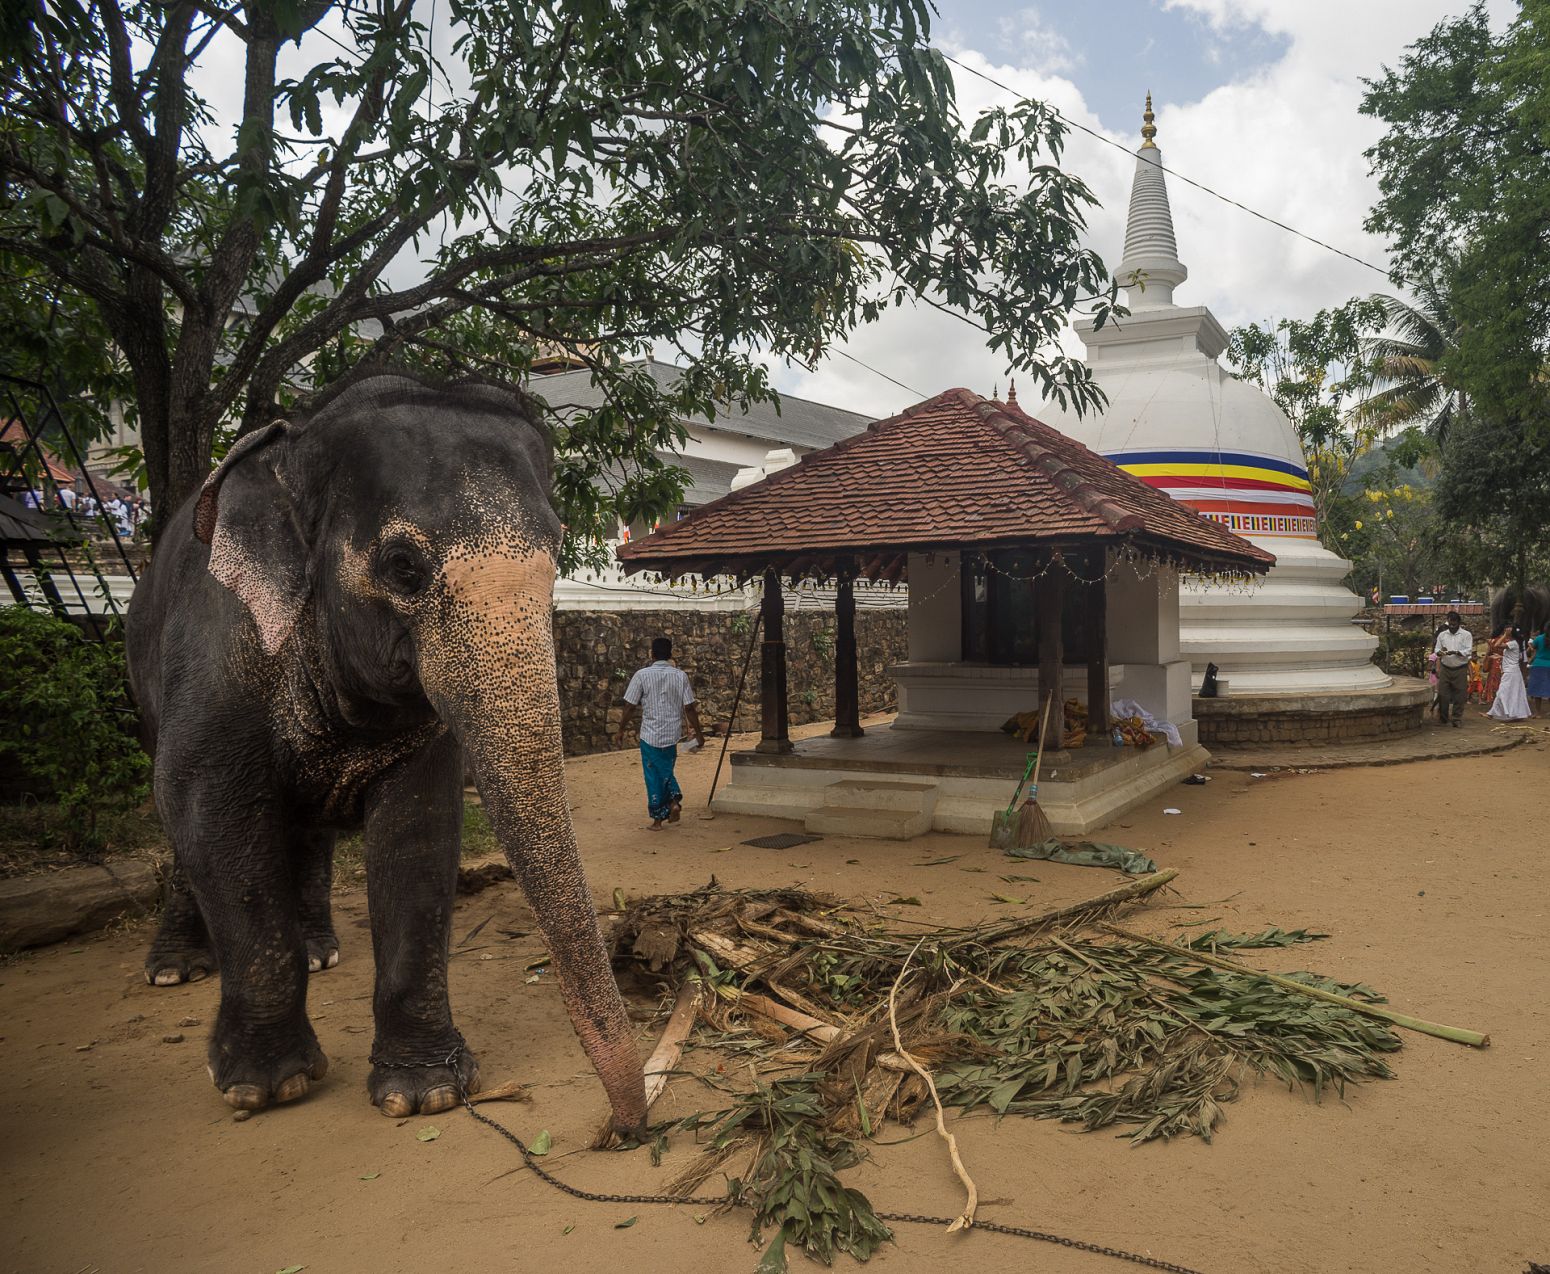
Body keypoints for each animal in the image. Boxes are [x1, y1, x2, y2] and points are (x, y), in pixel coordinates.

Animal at [125, 371, 647, 1134]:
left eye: (555, 560)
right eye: (403, 567)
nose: (626, 1127)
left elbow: (419, 828)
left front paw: (425, 1092)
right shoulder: (219, 649)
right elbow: (208, 806)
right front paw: (266, 1087)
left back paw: (319, 951)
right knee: (177, 812)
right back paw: (175, 968)